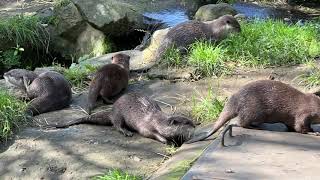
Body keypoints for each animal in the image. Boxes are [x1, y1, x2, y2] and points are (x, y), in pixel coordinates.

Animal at [52, 93, 196, 146]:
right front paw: (166, 141)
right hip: (119, 114)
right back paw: (127, 132)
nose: (195, 125)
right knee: (116, 125)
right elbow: (150, 134)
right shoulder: (146, 126)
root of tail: (112, 110)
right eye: (187, 122)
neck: (157, 121)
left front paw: (179, 140)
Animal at [186, 79, 320, 146]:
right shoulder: (303, 113)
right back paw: (257, 127)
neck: (315, 104)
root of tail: (235, 98)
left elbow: (294, 126)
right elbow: (300, 127)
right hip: (255, 111)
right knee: (241, 122)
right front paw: (313, 132)